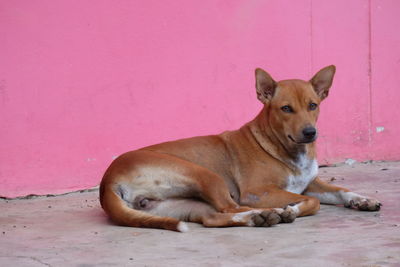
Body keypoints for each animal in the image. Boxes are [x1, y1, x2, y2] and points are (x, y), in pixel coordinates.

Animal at [99, 66, 382, 232]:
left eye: (313, 105)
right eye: (286, 108)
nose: (310, 133)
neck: (287, 150)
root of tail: (107, 181)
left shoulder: (310, 183)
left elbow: (340, 191)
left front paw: (362, 199)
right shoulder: (258, 192)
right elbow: (312, 202)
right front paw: (292, 209)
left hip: (179, 205)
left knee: (215, 218)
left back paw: (259, 218)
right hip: (205, 174)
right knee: (230, 207)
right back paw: (268, 213)